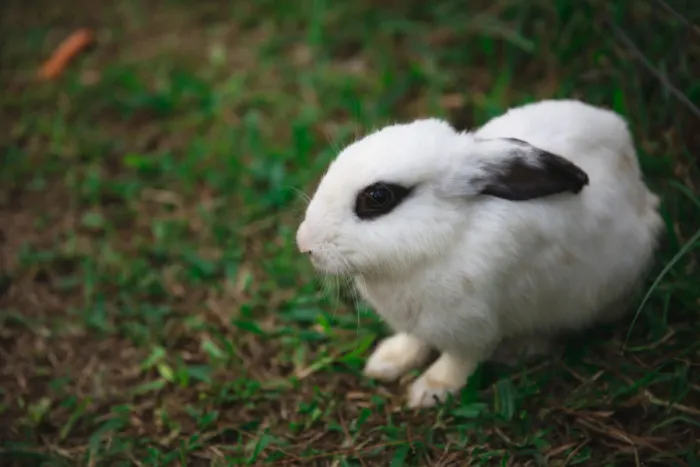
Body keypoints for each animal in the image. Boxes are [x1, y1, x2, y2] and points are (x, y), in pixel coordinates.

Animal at [294, 99, 660, 410]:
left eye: (379, 197)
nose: (304, 243)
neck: (446, 238)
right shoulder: (419, 323)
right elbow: (414, 341)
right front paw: (385, 362)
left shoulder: (472, 329)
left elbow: (458, 362)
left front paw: (429, 391)